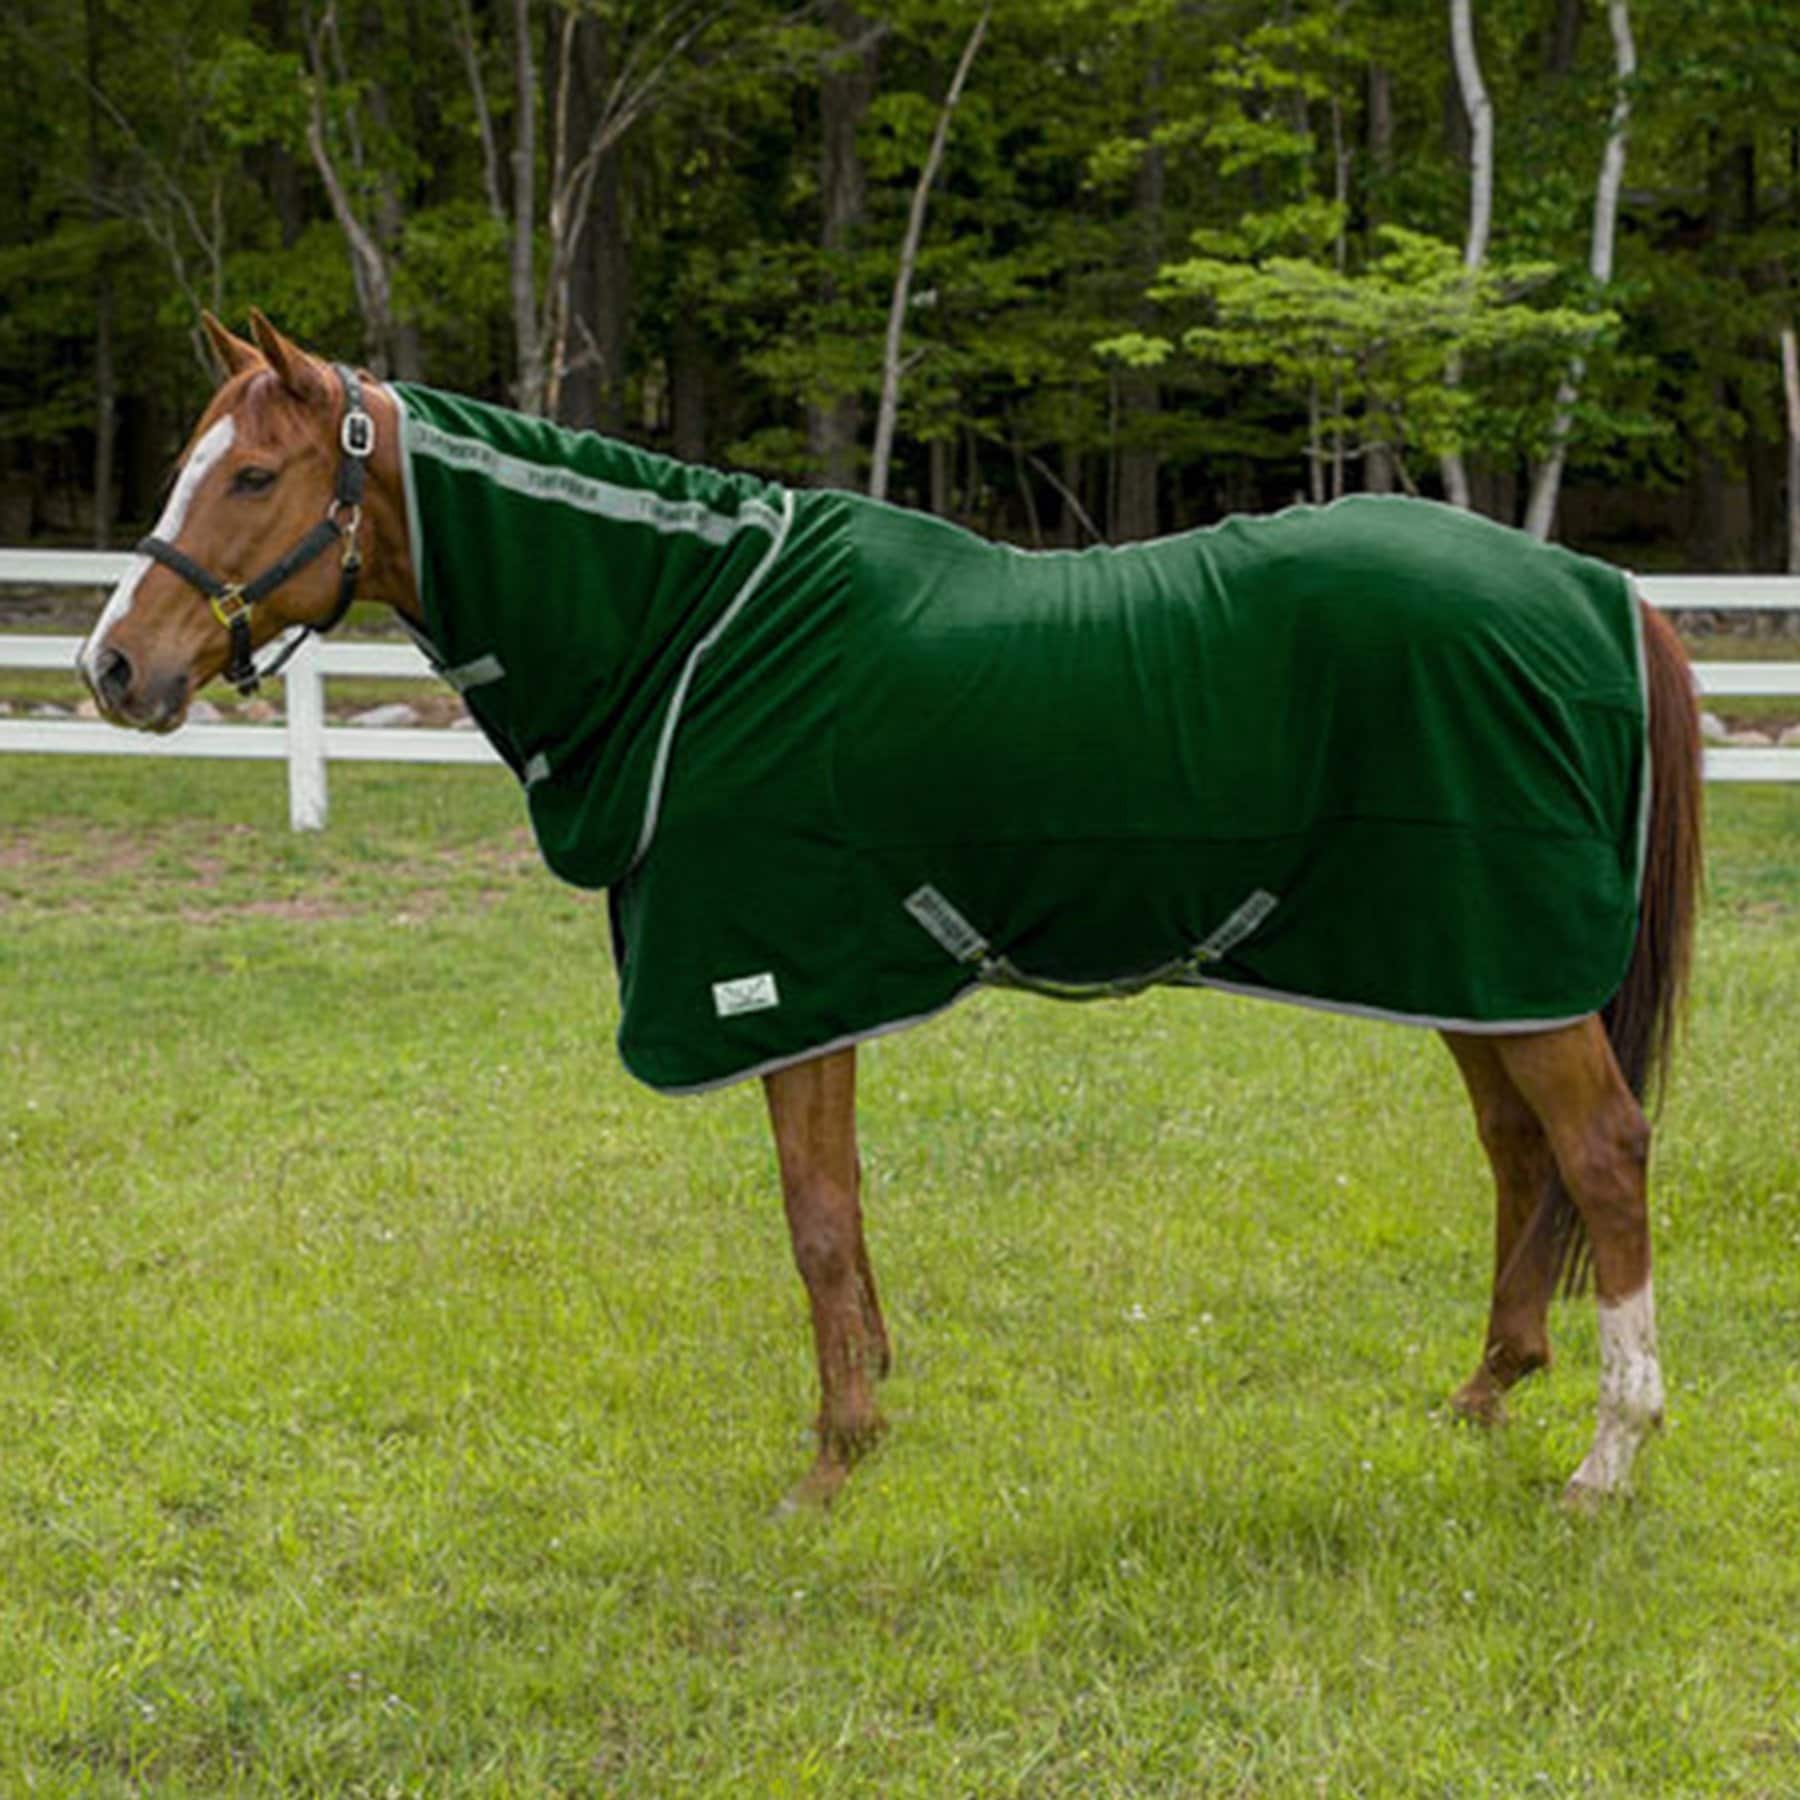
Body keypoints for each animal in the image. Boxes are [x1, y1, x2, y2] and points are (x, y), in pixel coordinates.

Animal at [79, 310, 1702, 1512]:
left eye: (250, 478)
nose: (112, 668)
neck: (693, 637)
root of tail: (1593, 582)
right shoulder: (812, 989)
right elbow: (842, 1219)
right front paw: (867, 1421)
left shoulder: (774, 981)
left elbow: (812, 1222)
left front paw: (830, 1464)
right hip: (1467, 958)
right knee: (1519, 1154)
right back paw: (1484, 1394)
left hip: (1508, 958)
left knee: (1602, 1155)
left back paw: (1610, 1459)